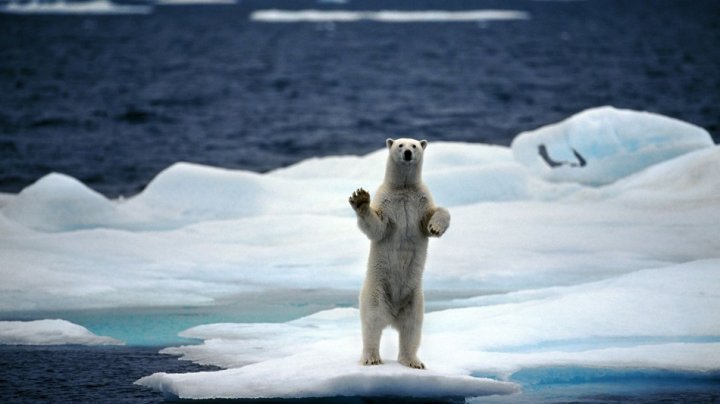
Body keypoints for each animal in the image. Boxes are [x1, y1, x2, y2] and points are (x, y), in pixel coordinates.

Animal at [348, 138, 450, 370]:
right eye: (400, 145)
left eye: (415, 146)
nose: (407, 153)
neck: (403, 188)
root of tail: (392, 314)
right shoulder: (387, 202)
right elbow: (377, 227)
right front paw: (360, 199)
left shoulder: (421, 201)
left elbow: (436, 214)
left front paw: (436, 227)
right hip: (376, 290)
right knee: (372, 322)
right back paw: (371, 357)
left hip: (414, 298)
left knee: (412, 327)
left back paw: (412, 361)